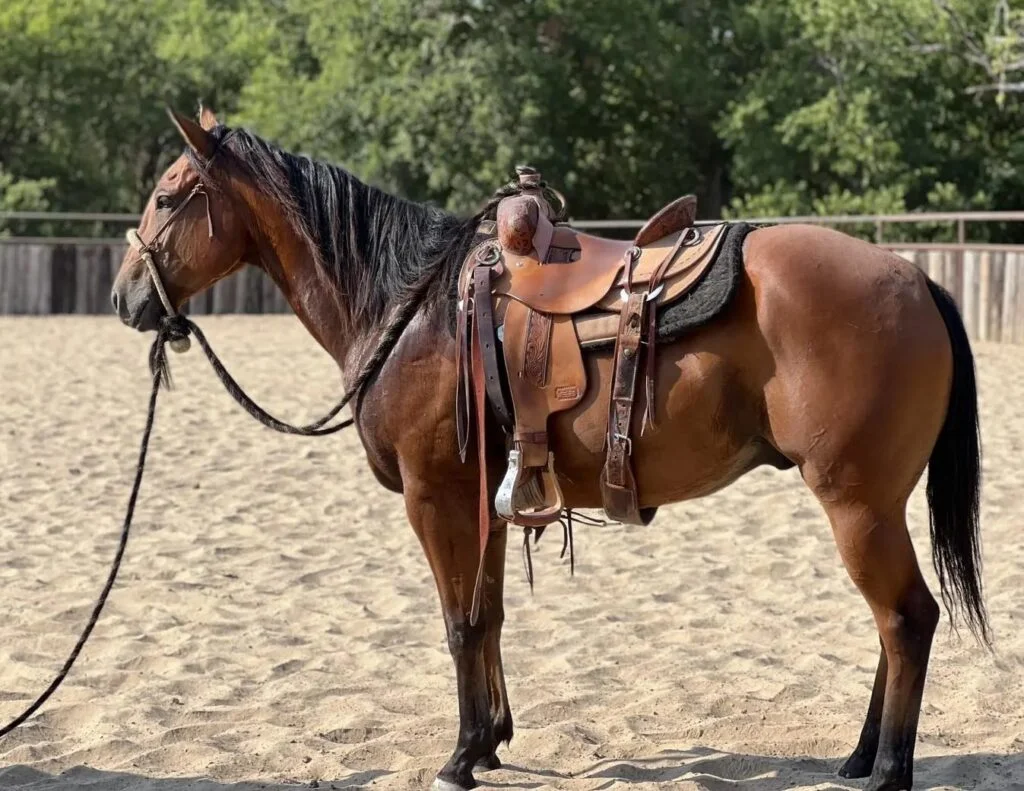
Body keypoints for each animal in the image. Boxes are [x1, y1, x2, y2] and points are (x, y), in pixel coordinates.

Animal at [110, 107, 989, 791]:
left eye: (166, 196)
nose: (125, 297)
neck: (415, 307)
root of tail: (915, 279)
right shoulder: (487, 501)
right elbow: (491, 614)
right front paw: (493, 740)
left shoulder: (436, 496)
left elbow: (459, 621)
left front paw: (460, 755)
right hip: (873, 507)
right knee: (890, 622)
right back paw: (858, 755)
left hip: (856, 503)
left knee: (907, 617)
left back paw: (887, 768)